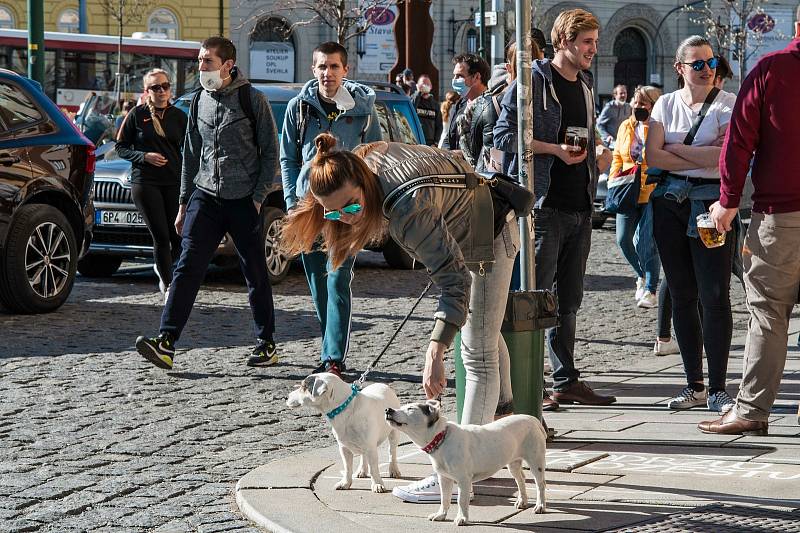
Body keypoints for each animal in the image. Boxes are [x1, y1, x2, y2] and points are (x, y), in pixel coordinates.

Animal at [384, 400, 548, 524]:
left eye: (410, 408)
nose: (388, 409)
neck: (441, 438)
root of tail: (532, 419)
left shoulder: (463, 479)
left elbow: (462, 500)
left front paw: (462, 518)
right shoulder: (444, 478)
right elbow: (444, 499)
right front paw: (441, 515)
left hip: (536, 461)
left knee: (540, 484)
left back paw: (540, 505)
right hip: (513, 462)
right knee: (521, 479)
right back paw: (522, 501)